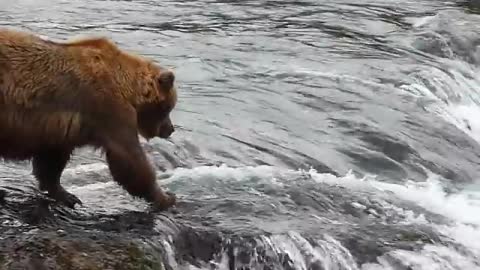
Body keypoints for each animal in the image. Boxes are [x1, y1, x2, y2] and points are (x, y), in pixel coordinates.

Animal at [0, 26, 178, 210]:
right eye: (169, 107)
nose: (170, 129)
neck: (126, 89)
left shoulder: (59, 129)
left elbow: (52, 161)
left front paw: (66, 195)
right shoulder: (109, 110)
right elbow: (130, 158)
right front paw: (166, 197)